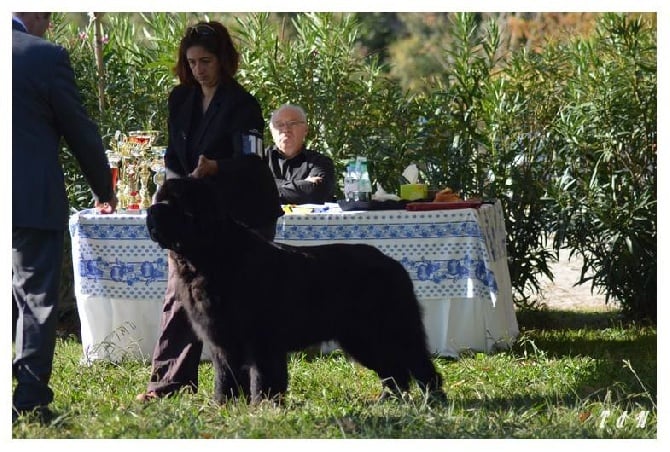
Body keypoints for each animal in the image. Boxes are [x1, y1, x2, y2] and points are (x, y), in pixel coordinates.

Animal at [150, 178, 448, 404]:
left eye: (176, 204)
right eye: (159, 198)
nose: (152, 212)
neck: (209, 255)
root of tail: (395, 264)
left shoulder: (262, 339)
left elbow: (264, 377)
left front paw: (264, 407)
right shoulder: (221, 339)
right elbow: (225, 377)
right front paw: (224, 405)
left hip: (392, 329)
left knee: (418, 363)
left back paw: (433, 399)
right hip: (362, 338)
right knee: (394, 370)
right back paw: (389, 400)